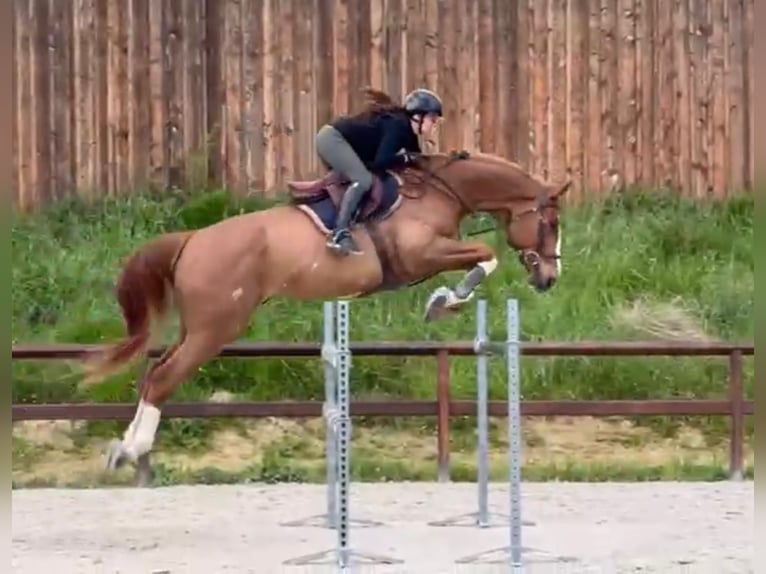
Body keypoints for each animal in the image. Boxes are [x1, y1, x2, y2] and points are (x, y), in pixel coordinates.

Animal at [83, 149, 570, 472]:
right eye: (550, 223)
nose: (550, 278)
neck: (438, 192)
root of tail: (192, 239)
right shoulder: (422, 254)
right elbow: (486, 255)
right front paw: (445, 301)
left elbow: (483, 256)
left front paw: (447, 300)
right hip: (215, 328)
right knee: (165, 377)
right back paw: (132, 450)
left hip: (198, 326)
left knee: (155, 371)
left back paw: (125, 447)